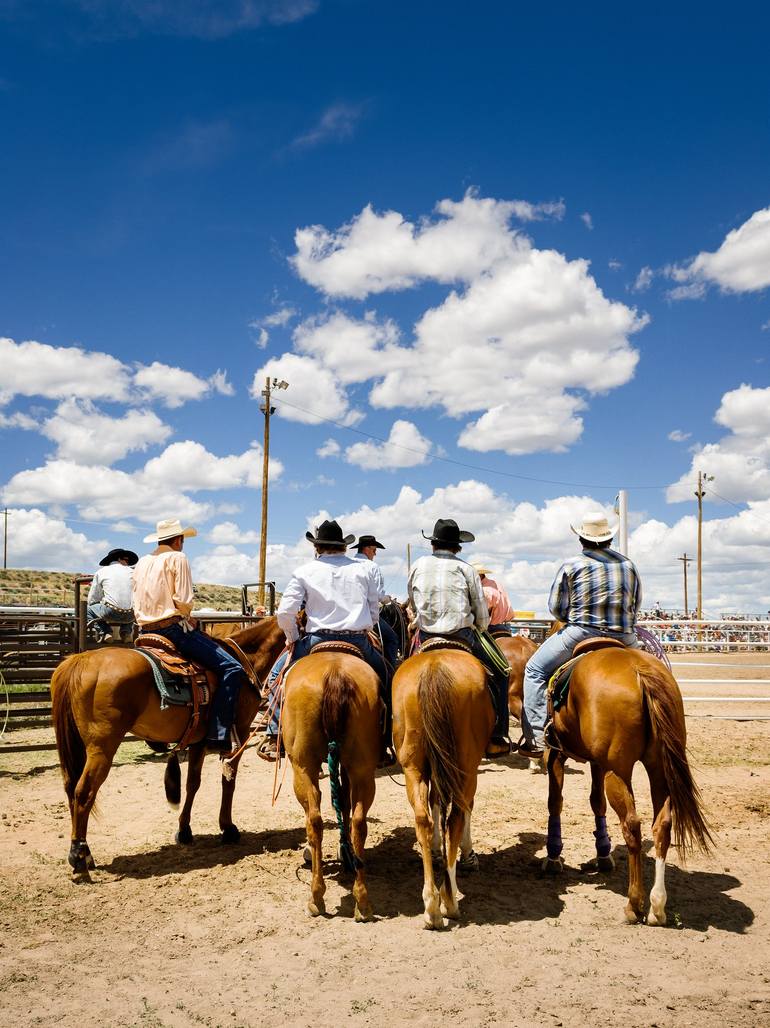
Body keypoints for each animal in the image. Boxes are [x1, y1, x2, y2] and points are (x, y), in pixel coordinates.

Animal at [51, 612, 285, 879]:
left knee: (70, 788)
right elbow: (229, 781)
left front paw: (184, 830)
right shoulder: (241, 733)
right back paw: (78, 858)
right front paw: (228, 828)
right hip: (101, 748)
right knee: (83, 792)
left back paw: (86, 853)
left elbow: (192, 783)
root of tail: (80, 660)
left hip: (78, 744)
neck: (244, 658)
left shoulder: (198, 742)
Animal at [281, 649, 380, 925]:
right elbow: (344, 802)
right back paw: (362, 902)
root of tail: (335, 675)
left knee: (313, 819)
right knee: (358, 821)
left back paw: (316, 897)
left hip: (302, 765)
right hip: (361, 767)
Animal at [392, 649, 495, 933]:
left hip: (413, 767)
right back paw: (449, 900)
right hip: (467, 767)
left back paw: (431, 906)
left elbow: (435, 803)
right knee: (457, 816)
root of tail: (433, 669)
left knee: (423, 819)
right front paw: (468, 855)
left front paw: (437, 849)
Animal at [542, 645, 711, 929]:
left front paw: (553, 857)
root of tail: (640, 671)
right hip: (658, 769)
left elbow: (556, 801)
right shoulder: (596, 762)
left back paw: (634, 905)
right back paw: (657, 907)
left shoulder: (557, 753)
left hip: (617, 771)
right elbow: (596, 802)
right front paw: (603, 854)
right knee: (662, 825)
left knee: (632, 825)